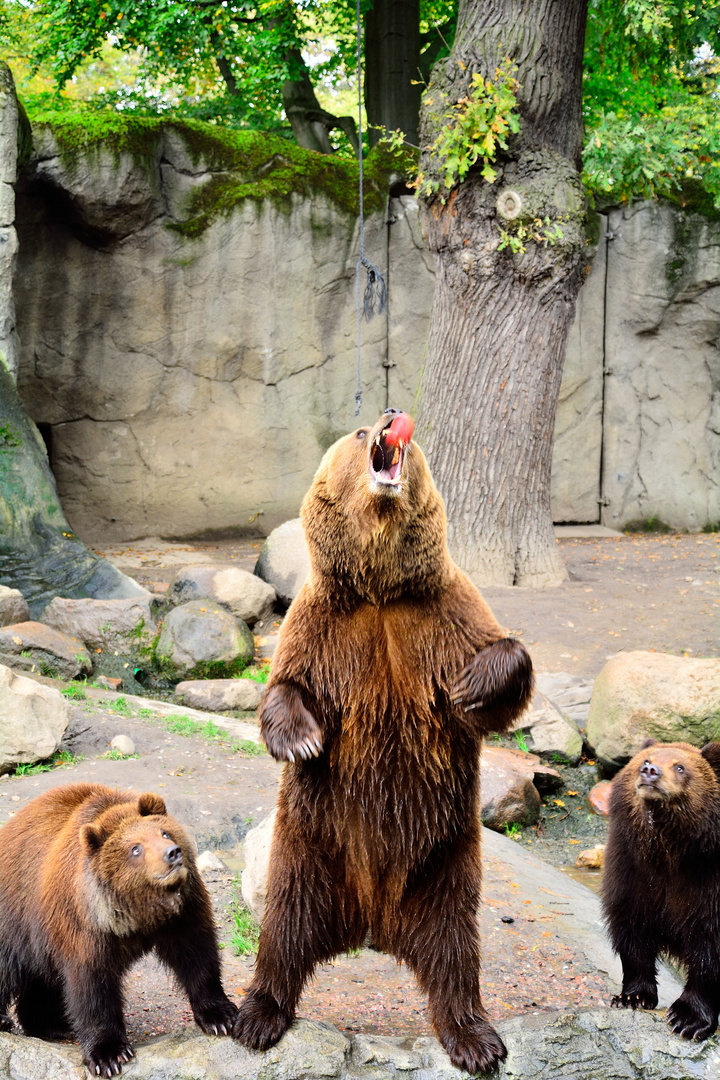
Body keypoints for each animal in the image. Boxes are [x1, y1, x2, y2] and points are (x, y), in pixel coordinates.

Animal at [0, 786, 236, 1080]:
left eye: (164, 833)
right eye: (135, 848)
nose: (173, 853)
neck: (139, 910)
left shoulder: (183, 912)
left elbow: (197, 955)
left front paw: (221, 1016)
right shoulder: (84, 926)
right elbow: (91, 984)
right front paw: (108, 1054)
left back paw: (52, 1025)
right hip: (16, 920)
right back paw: (7, 1020)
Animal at [234, 410, 533, 1071]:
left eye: (406, 438)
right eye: (358, 429)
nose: (395, 418)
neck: (378, 588)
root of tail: (372, 921)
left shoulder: (439, 612)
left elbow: (503, 659)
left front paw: (472, 686)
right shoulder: (324, 625)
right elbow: (284, 686)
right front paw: (301, 741)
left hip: (444, 861)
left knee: (454, 950)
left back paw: (475, 1038)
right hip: (311, 848)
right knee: (283, 930)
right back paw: (257, 1015)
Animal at [604, 738, 720, 1041]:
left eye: (680, 767)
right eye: (646, 759)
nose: (650, 771)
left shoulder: (707, 883)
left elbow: (709, 947)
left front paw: (688, 1019)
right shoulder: (633, 870)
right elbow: (631, 929)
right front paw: (632, 997)